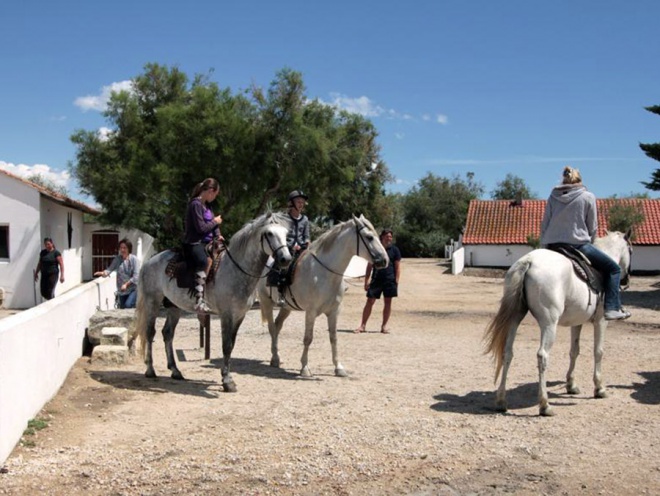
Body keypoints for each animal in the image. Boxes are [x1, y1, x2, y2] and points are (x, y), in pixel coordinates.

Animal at [135, 212, 292, 392]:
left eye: (286, 234)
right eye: (269, 233)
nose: (286, 259)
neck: (235, 270)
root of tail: (149, 262)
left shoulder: (239, 315)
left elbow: (231, 345)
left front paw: (227, 377)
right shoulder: (226, 315)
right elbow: (226, 345)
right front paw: (227, 381)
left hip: (174, 307)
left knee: (167, 333)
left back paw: (175, 371)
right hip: (152, 302)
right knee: (150, 333)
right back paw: (150, 370)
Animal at [258, 215, 390, 378]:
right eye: (369, 237)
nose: (385, 260)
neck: (325, 273)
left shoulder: (334, 312)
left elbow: (334, 338)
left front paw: (338, 368)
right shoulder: (311, 312)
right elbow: (308, 338)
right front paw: (305, 367)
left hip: (286, 307)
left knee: (277, 326)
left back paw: (276, 357)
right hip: (267, 303)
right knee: (271, 328)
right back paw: (275, 359)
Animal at [482, 231, 632, 416]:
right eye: (631, 250)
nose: (626, 281)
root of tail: (528, 261)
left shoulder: (577, 322)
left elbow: (574, 351)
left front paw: (571, 385)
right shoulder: (601, 321)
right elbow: (598, 352)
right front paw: (599, 388)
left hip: (514, 319)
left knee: (507, 353)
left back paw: (501, 401)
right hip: (549, 324)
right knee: (542, 356)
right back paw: (545, 405)